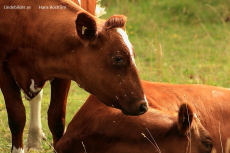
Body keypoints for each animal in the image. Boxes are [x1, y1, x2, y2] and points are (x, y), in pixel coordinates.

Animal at [0, 0, 147, 152]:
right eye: (118, 58)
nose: (143, 105)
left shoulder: (63, 70)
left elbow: (56, 119)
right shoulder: (3, 72)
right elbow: (17, 118)